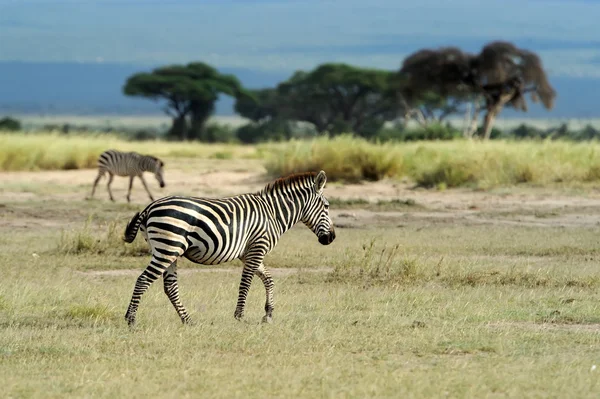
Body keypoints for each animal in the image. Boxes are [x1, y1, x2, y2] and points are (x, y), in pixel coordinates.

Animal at [120, 170, 338, 326]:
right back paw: (131, 320)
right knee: (143, 280)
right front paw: (239, 316)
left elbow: (268, 279)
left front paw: (268, 314)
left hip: (169, 250)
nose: (332, 238)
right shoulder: (257, 247)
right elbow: (246, 282)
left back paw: (188, 320)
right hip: (168, 247)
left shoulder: (249, 252)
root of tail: (150, 207)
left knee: (170, 286)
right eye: (327, 207)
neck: (272, 214)